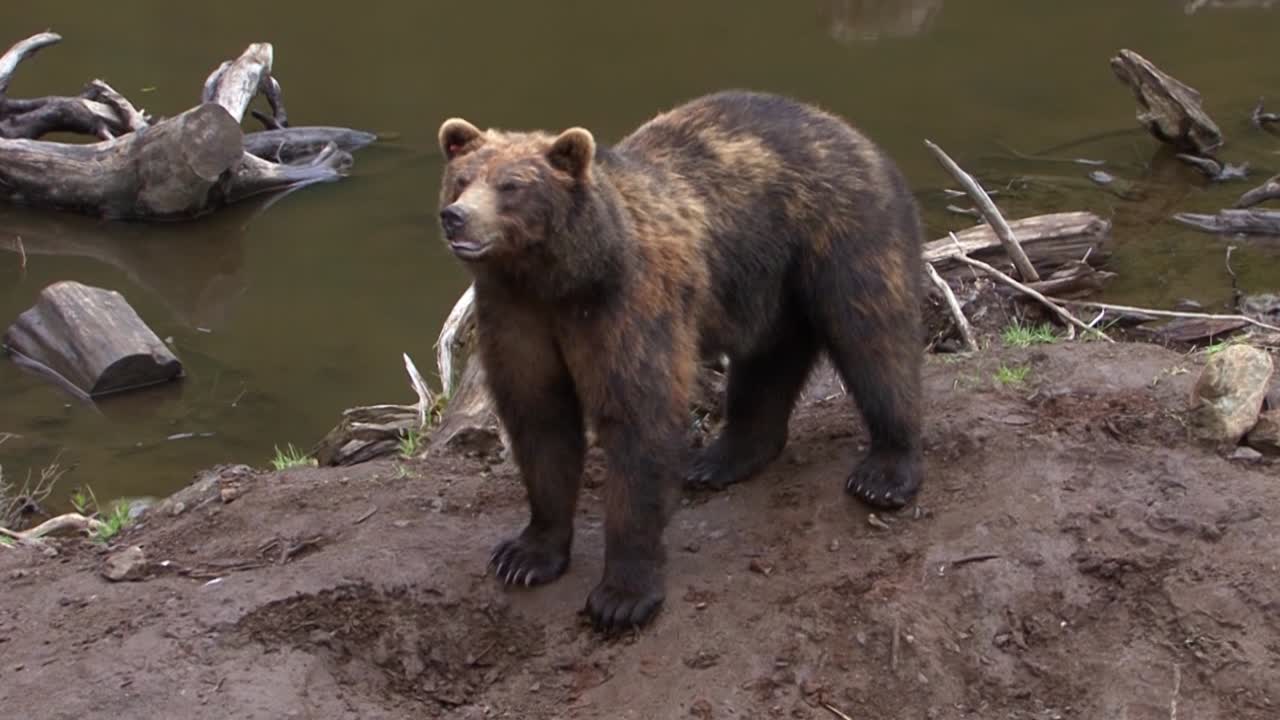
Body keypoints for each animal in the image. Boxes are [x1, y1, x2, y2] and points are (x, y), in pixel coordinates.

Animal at [435, 90, 924, 632]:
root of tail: (846, 129)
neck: (557, 278)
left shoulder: (625, 306)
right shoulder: (516, 318)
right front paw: (525, 555)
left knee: (872, 335)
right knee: (768, 359)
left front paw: (621, 596)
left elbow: (639, 422)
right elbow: (540, 423)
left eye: (512, 185)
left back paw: (884, 471)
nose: (456, 216)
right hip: (764, 281)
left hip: (839, 231)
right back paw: (719, 458)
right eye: (462, 178)